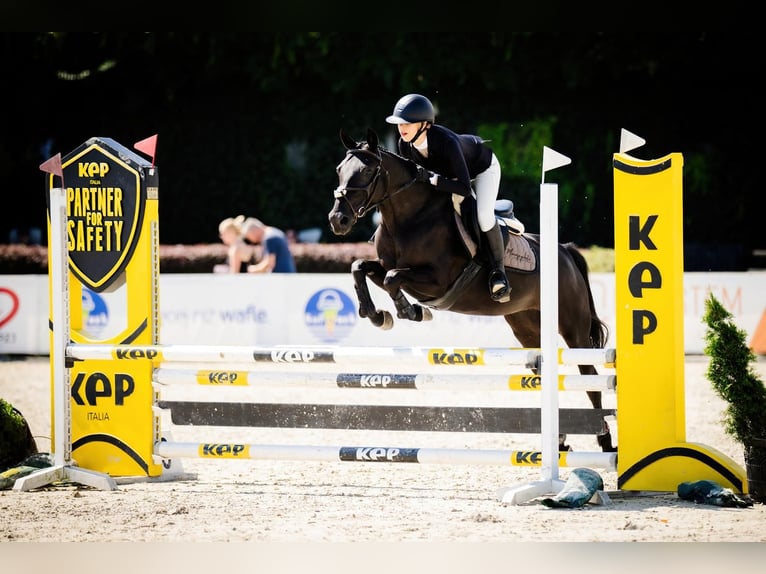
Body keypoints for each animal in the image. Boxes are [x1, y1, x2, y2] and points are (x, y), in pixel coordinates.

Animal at [328, 128, 614, 452]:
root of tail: (565, 250)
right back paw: (561, 441)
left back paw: (605, 441)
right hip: (527, 325)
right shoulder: (387, 267)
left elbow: (392, 279)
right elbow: (361, 267)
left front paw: (411, 312)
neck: (409, 218)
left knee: (591, 379)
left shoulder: (439, 279)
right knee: (544, 371)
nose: (338, 220)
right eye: (339, 170)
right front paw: (377, 315)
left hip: (572, 326)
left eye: (367, 171)